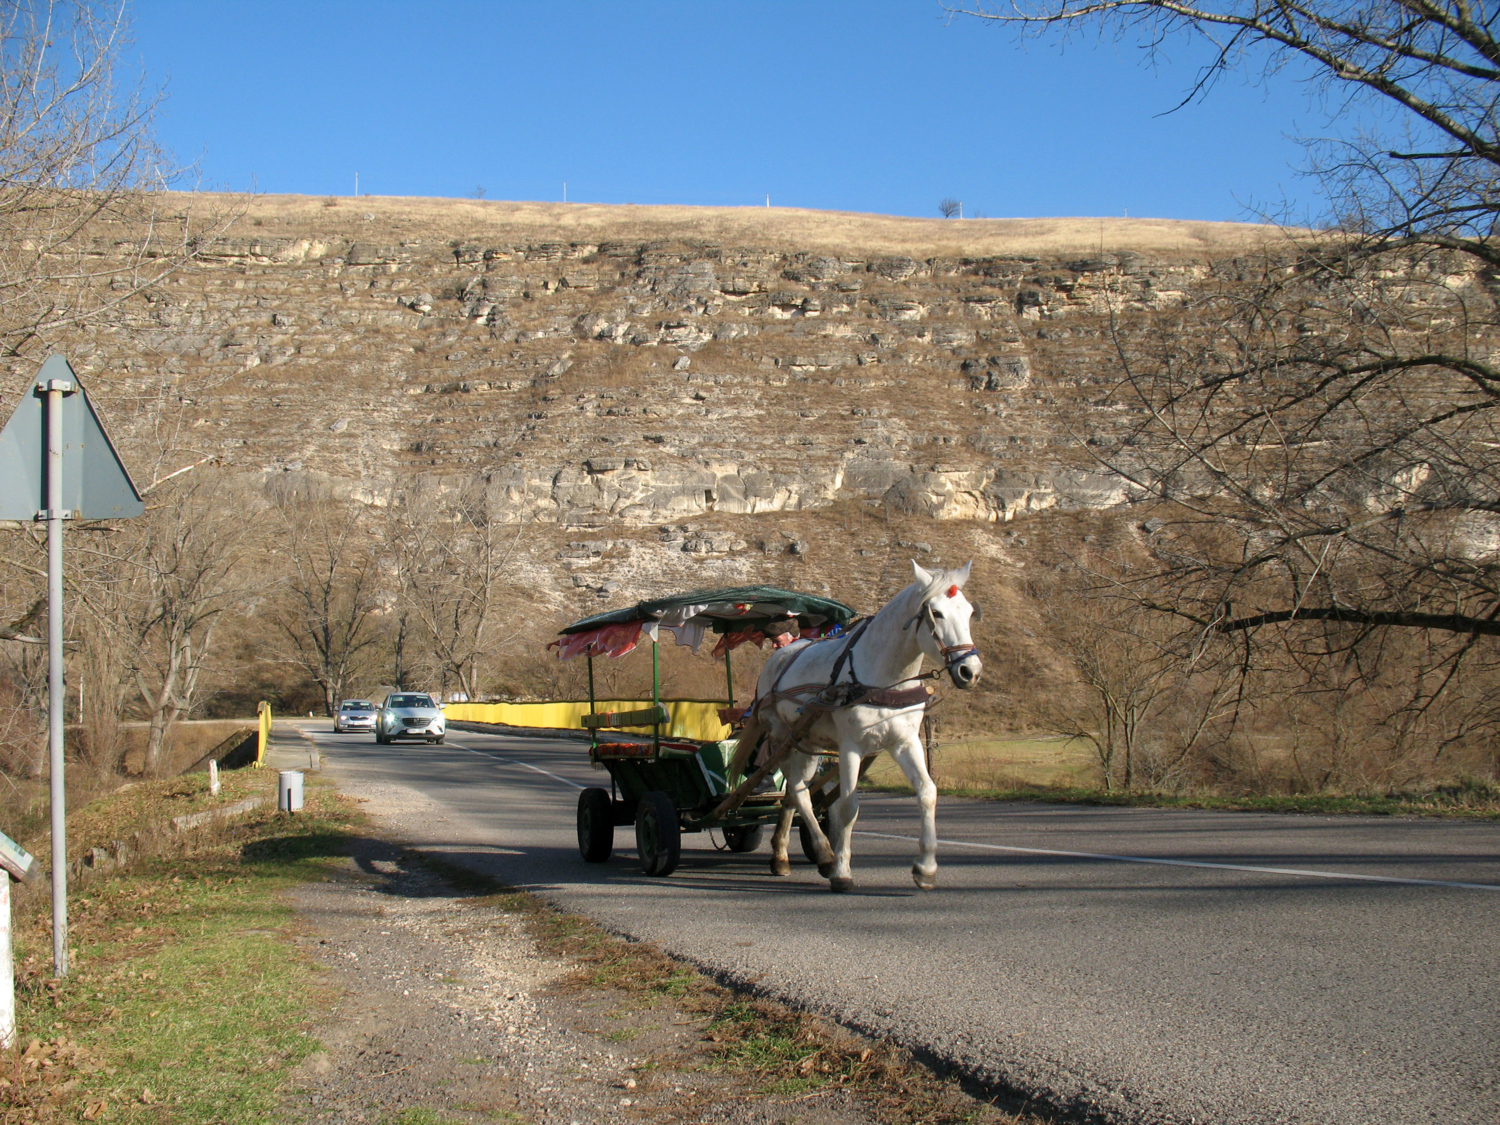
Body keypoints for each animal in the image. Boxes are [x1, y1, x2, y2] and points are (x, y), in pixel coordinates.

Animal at [750, 564, 984, 900]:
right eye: (936, 613)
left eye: (968, 612)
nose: (970, 671)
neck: (884, 678)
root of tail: (777, 659)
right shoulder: (850, 747)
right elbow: (849, 807)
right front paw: (842, 873)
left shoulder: (905, 742)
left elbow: (927, 792)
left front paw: (925, 868)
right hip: (782, 738)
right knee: (797, 790)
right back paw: (825, 854)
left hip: (807, 743)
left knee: (796, 792)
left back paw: (782, 856)